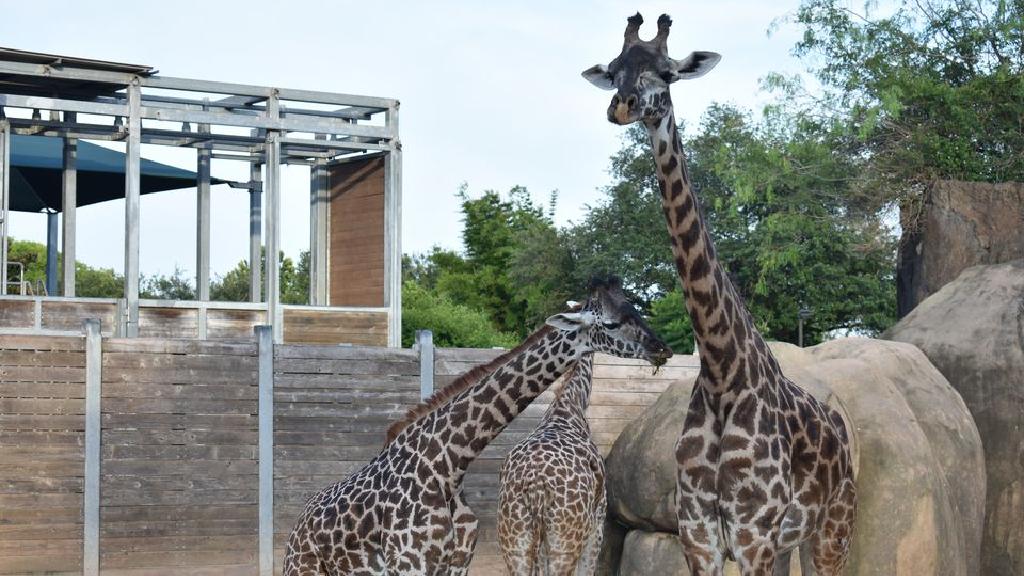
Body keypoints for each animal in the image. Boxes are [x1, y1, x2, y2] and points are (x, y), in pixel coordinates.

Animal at [585, 13, 856, 573]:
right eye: (616, 69)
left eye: (667, 72)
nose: (623, 104)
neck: (720, 373)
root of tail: (843, 434)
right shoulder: (700, 535)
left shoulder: (752, 535)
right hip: (791, 541)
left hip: (833, 530)